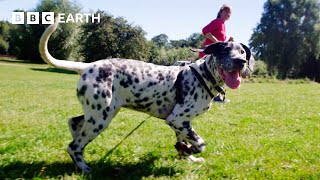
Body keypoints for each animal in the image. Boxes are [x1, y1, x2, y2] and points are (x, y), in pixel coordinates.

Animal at [39, 20, 255, 173]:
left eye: (242, 51)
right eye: (224, 50)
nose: (240, 61)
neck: (203, 75)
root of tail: (87, 66)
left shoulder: (181, 123)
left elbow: (183, 144)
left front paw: (188, 155)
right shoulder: (177, 119)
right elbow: (200, 144)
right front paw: (190, 151)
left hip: (97, 114)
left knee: (74, 123)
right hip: (101, 119)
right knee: (73, 146)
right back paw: (84, 168)